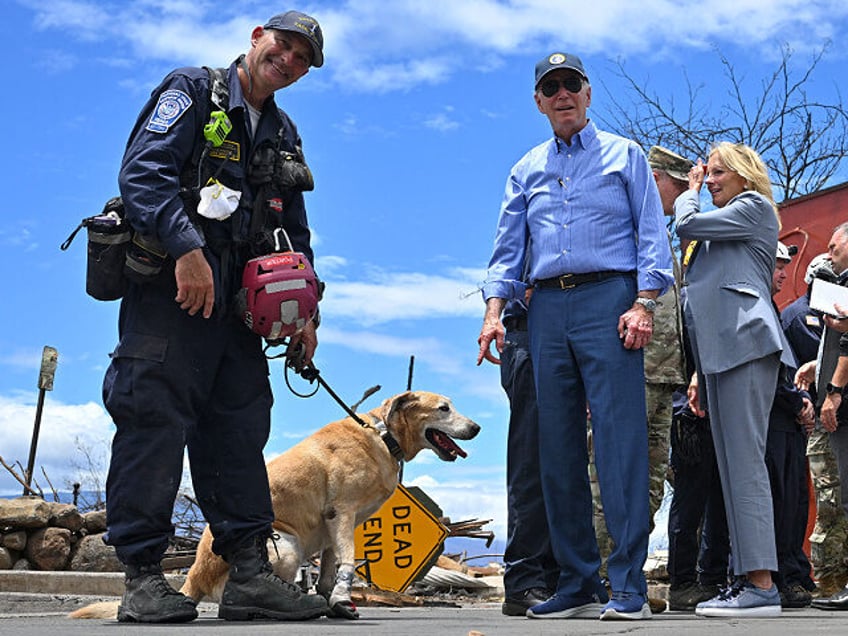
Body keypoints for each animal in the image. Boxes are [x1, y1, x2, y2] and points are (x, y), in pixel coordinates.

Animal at [69, 390, 480, 620]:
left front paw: (335, 602)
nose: (476, 428)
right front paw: (341, 598)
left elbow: (329, 573)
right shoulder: (343, 514)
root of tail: (193, 577)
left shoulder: (333, 527)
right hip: (285, 545)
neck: (382, 436)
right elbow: (348, 563)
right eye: (443, 408)